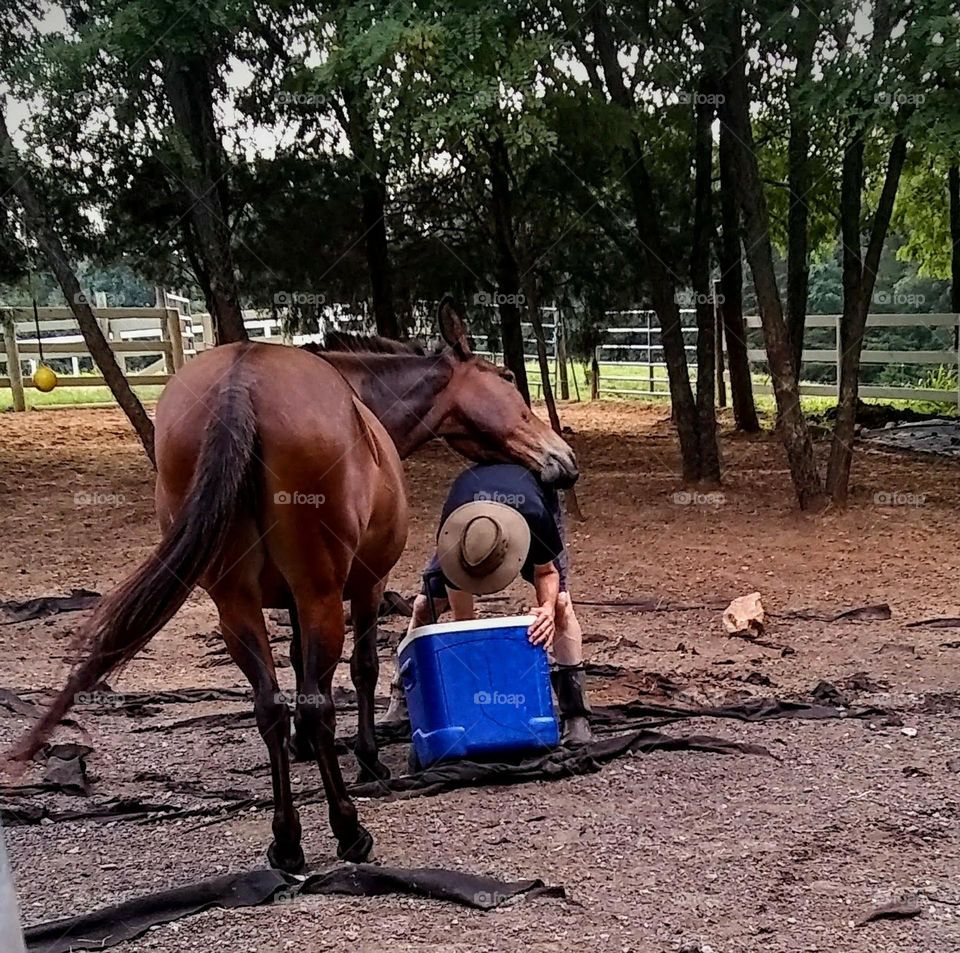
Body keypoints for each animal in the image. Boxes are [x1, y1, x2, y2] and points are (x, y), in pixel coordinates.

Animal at [8, 296, 578, 872]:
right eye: (508, 378)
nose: (564, 462)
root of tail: (241, 380)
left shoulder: (289, 602)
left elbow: (298, 664)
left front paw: (303, 751)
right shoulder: (364, 586)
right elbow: (362, 669)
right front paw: (369, 759)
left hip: (236, 603)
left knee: (271, 707)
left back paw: (286, 840)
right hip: (319, 593)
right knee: (316, 704)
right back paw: (348, 828)